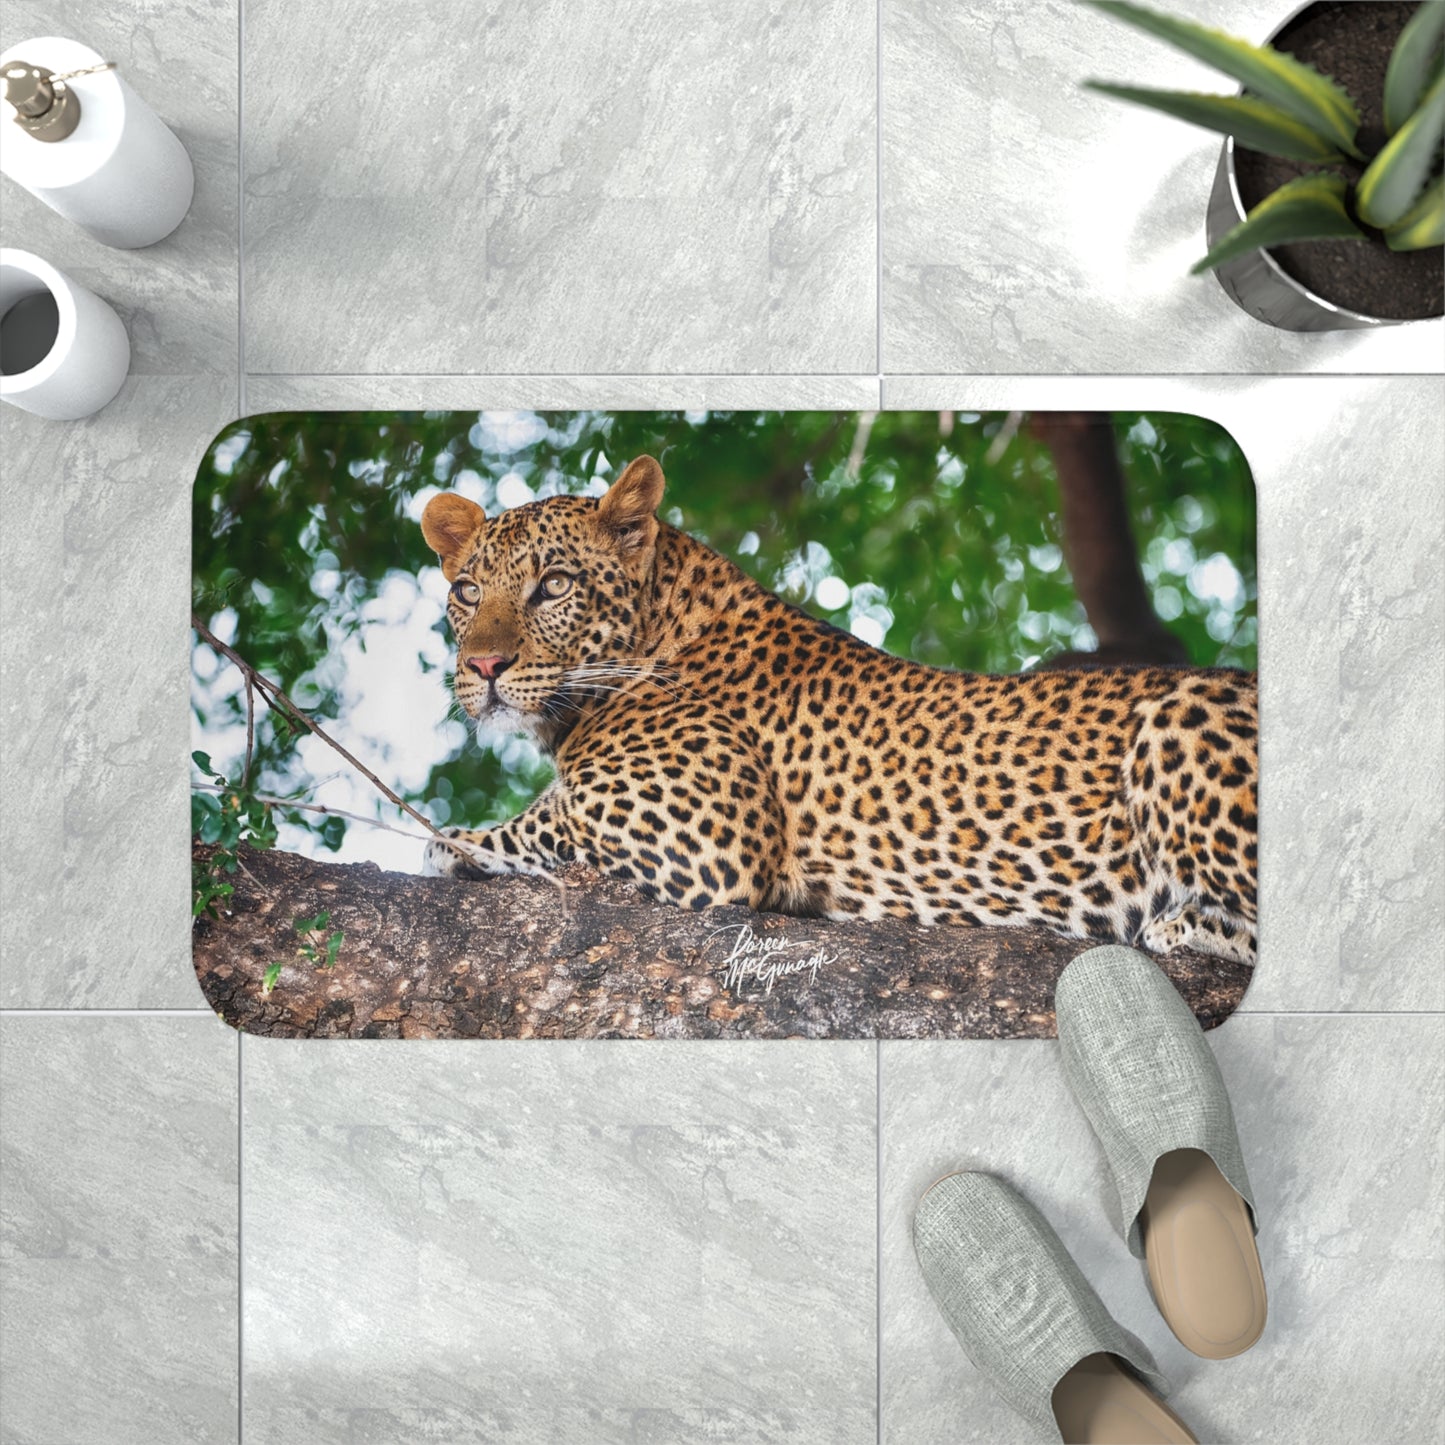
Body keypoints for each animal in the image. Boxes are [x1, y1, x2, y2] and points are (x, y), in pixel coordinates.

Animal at [418, 455, 1258, 966]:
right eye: (467, 592)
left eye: (553, 586)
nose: (482, 667)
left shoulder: (704, 836)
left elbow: (543, 816)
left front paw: (454, 841)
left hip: (1180, 712)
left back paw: (1183, 920)